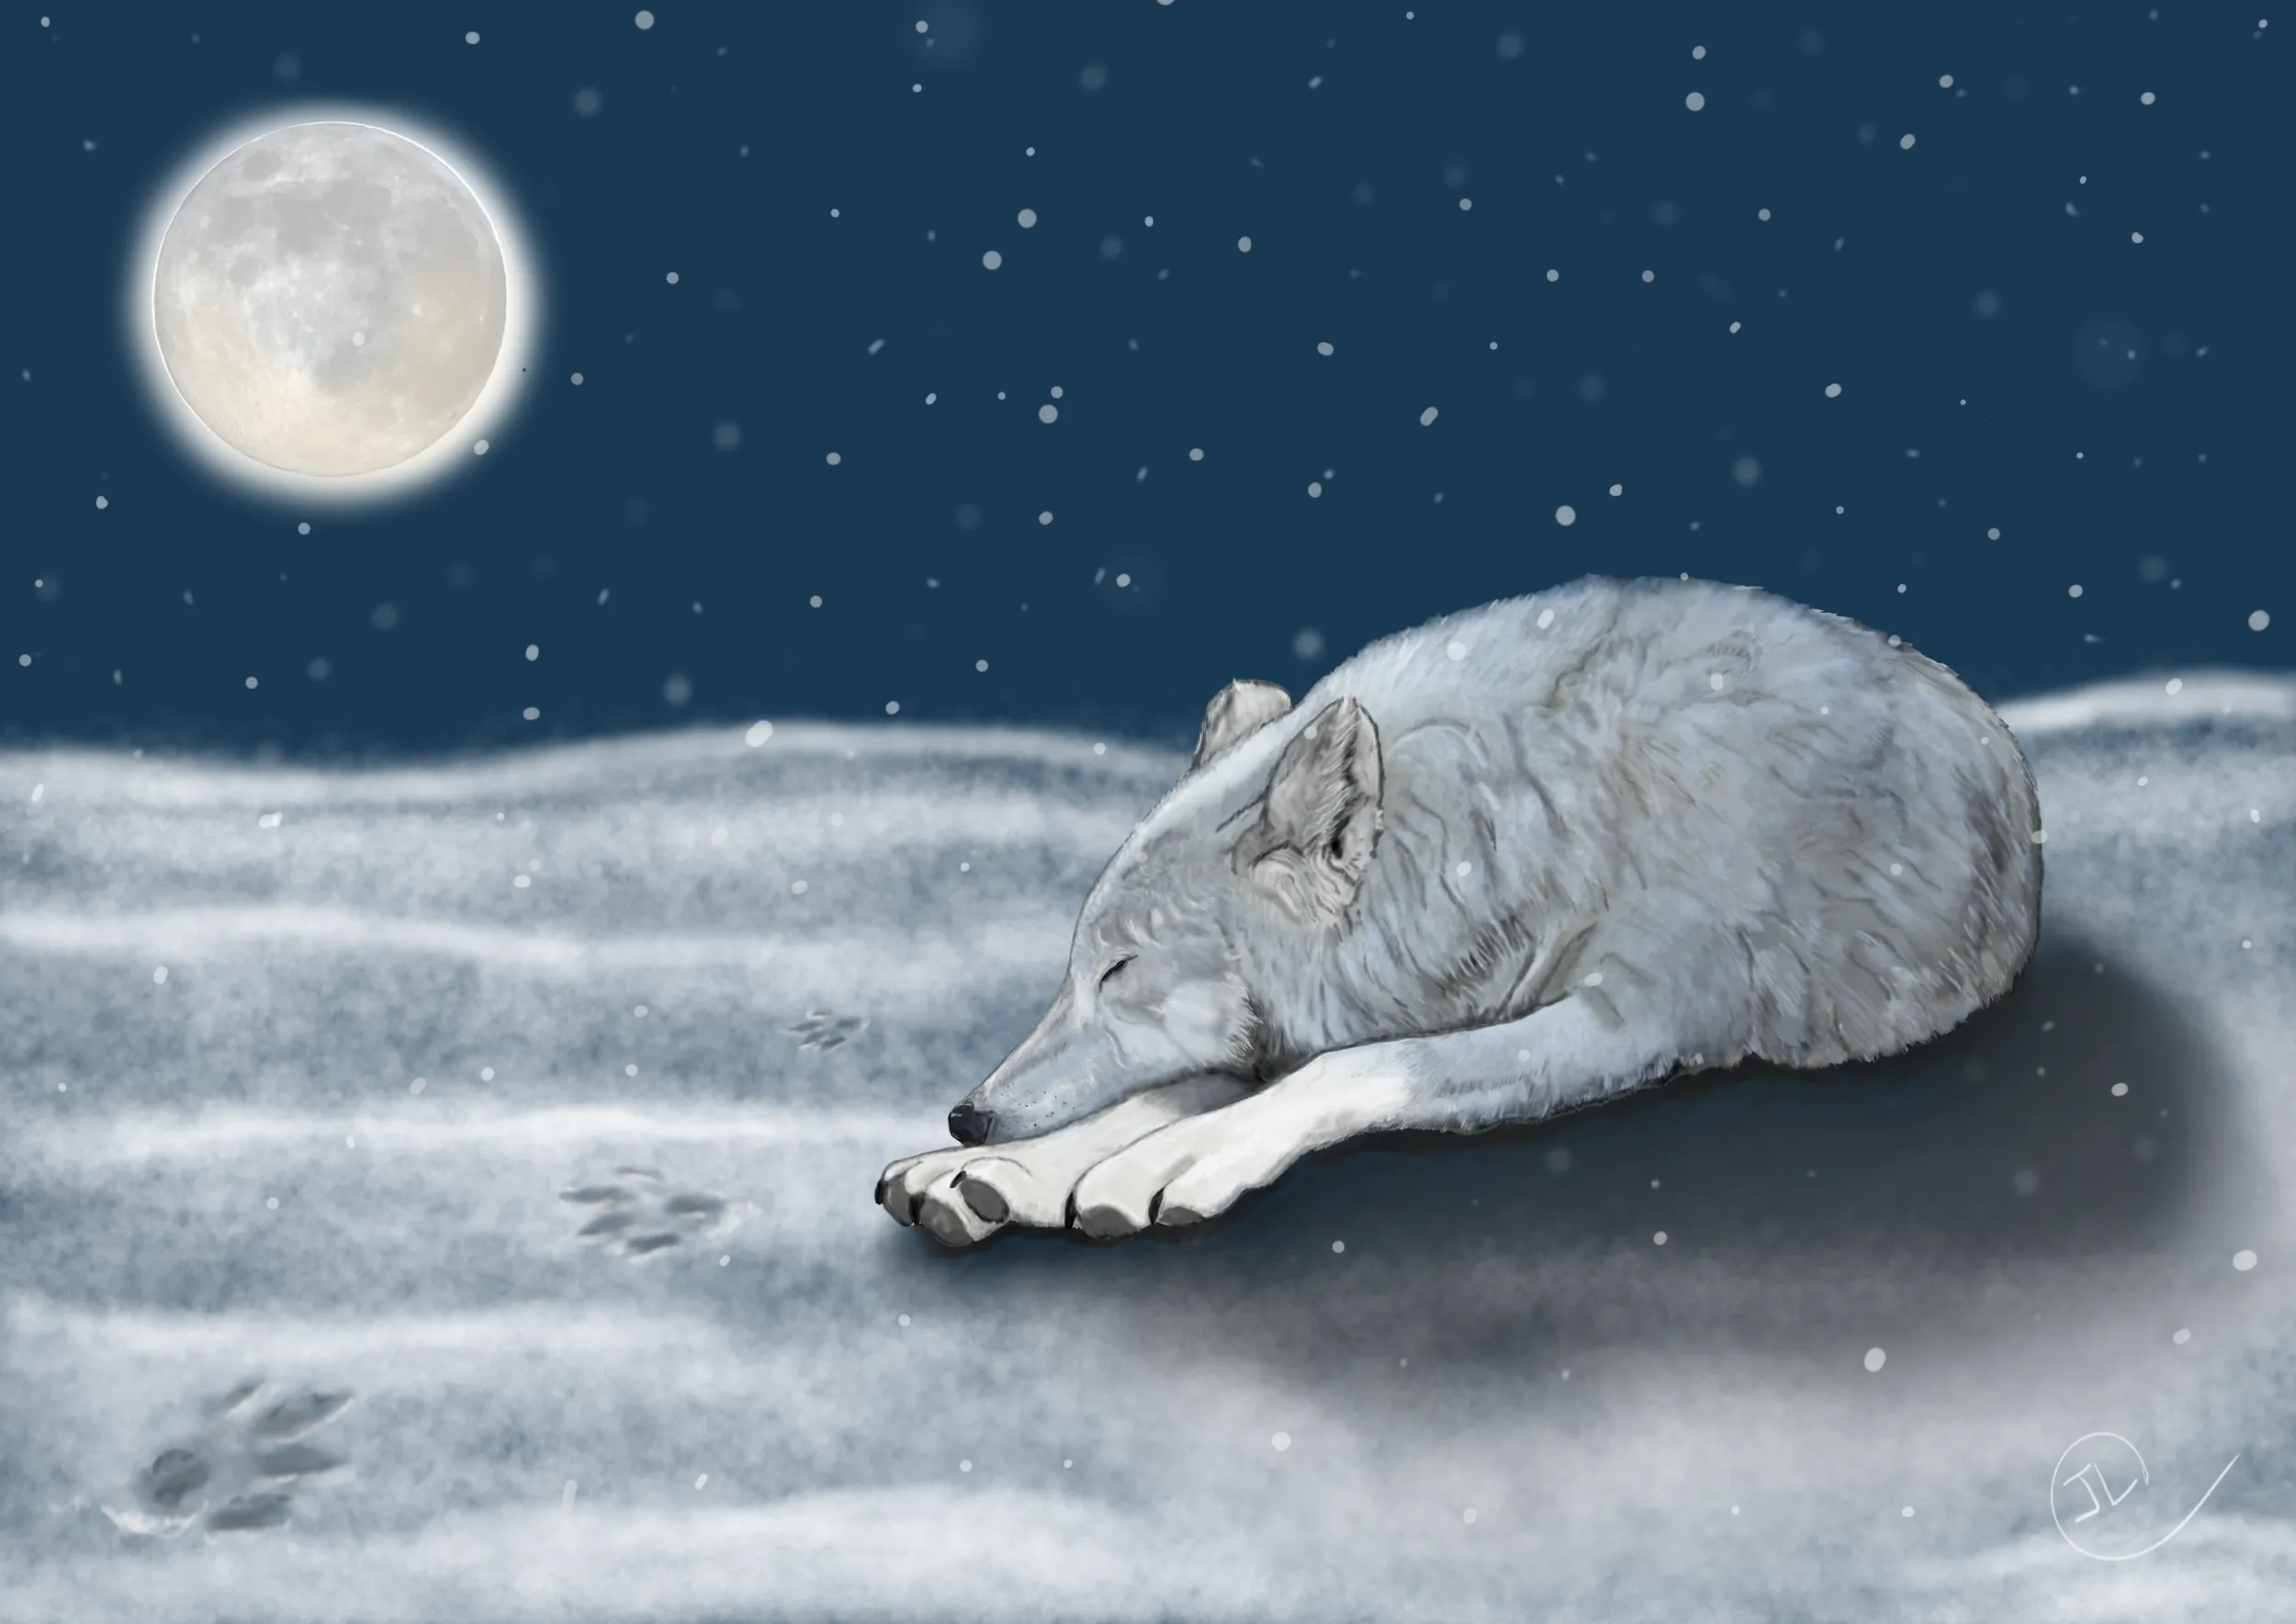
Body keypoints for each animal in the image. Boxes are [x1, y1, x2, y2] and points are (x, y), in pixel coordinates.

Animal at [878, 575, 2044, 1246]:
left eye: (1120, 971)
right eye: (1075, 964)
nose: (964, 1115)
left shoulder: (1634, 1019)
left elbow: (1355, 1068)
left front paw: (1171, 1159)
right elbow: (1179, 1085)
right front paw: (989, 1173)